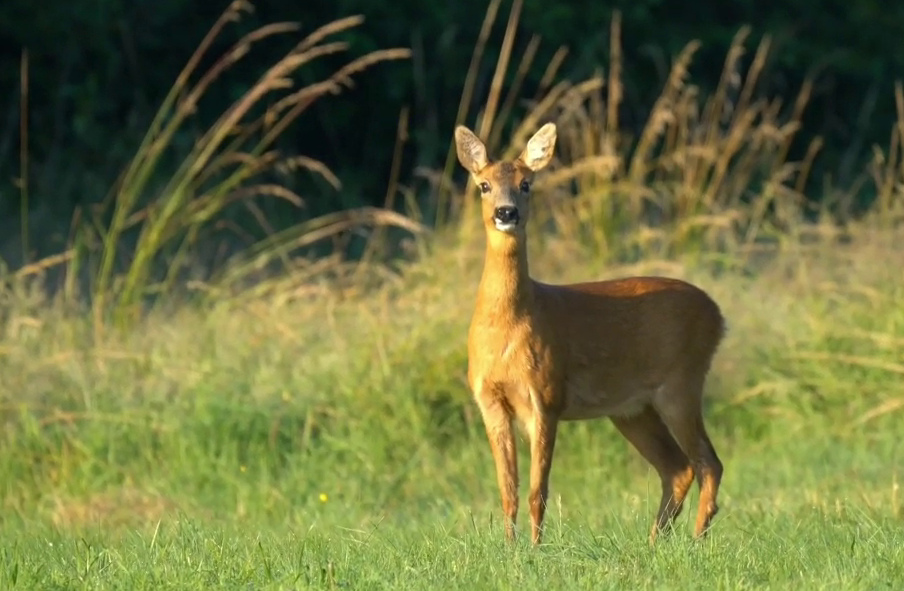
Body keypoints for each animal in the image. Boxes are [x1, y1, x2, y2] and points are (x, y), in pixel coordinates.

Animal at [452, 122, 728, 548]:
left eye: (526, 183)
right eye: (483, 185)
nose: (506, 212)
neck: (507, 328)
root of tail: (717, 315)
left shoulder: (546, 395)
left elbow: (538, 490)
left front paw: (534, 550)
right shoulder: (489, 399)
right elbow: (507, 489)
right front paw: (510, 549)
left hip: (681, 382)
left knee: (708, 462)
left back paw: (696, 540)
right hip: (632, 409)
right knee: (678, 467)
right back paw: (654, 542)